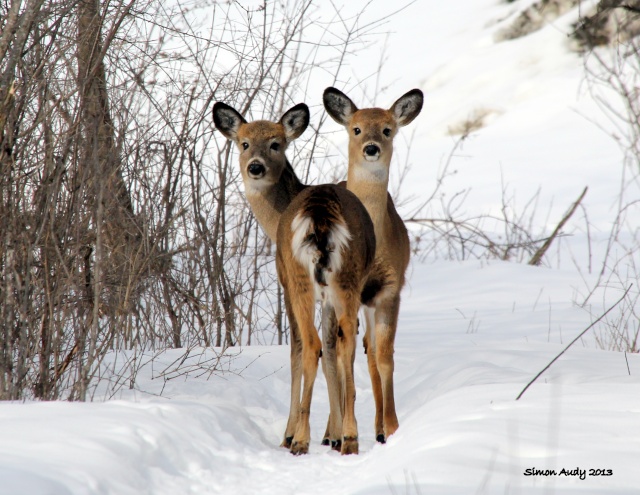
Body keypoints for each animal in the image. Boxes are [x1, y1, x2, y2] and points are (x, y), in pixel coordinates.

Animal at [212, 102, 376, 456]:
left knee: (310, 344)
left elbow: (298, 351)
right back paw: (350, 438)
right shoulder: (328, 295)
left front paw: (290, 433)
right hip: (347, 278)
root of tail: (319, 211)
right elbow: (332, 351)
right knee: (346, 340)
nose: (255, 167)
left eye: (276, 144)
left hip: (300, 279)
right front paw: (335, 433)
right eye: (244, 143)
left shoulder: (285, 282)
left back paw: (300, 439)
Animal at [322, 86, 422, 446]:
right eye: (356, 128)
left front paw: (390, 427)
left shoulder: (390, 290)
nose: (371, 148)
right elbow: (346, 355)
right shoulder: (347, 292)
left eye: (388, 129)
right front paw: (348, 432)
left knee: (369, 354)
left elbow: (384, 357)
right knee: (333, 352)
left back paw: (375, 427)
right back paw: (332, 433)